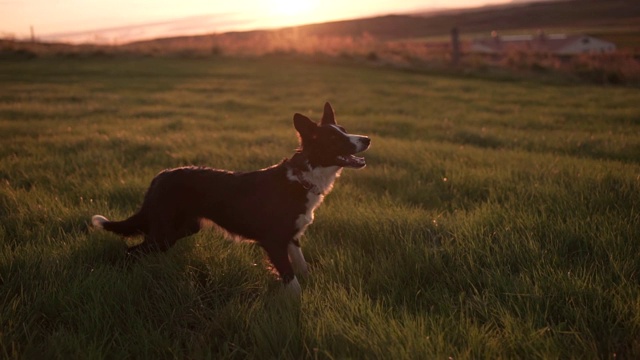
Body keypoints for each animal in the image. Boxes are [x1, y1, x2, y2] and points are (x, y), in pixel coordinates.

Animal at [90, 102, 370, 294]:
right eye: (334, 138)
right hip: (164, 233)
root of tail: (159, 177)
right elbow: (292, 281)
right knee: (130, 252)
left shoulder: (291, 237)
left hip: (182, 229)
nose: (367, 139)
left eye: (344, 130)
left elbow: (302, 267)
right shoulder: (273, 241)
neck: (303, 177)